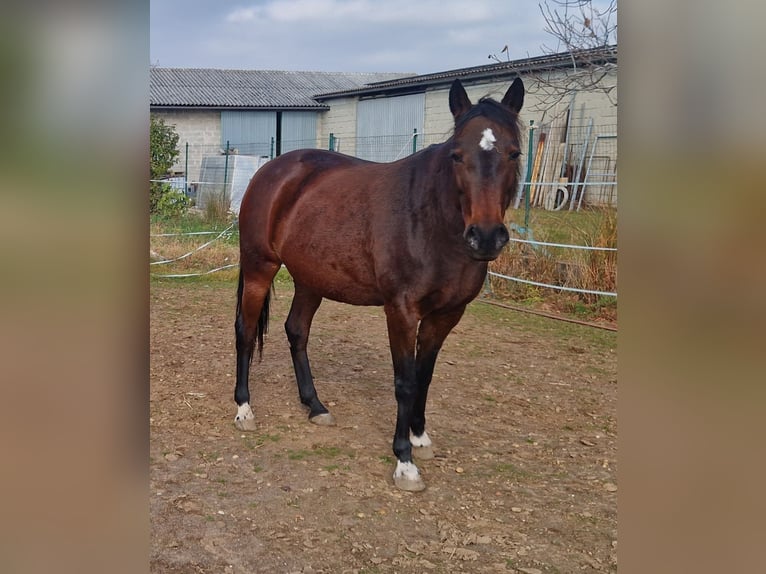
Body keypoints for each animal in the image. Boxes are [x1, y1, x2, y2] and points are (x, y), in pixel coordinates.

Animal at [233, 77, 524, 491]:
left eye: (514, 153)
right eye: (456, 155)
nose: (485, 237)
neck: (430, 221)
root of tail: (272, 169)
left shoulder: (446, 315)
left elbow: (424, 376)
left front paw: (420, 438)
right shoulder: (401, 311)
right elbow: (405, 381)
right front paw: (404, 461)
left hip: (310, 279)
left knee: (297, 331)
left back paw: (315, 405)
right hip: (260, 267)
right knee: (245, 331)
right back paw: (244, 409)